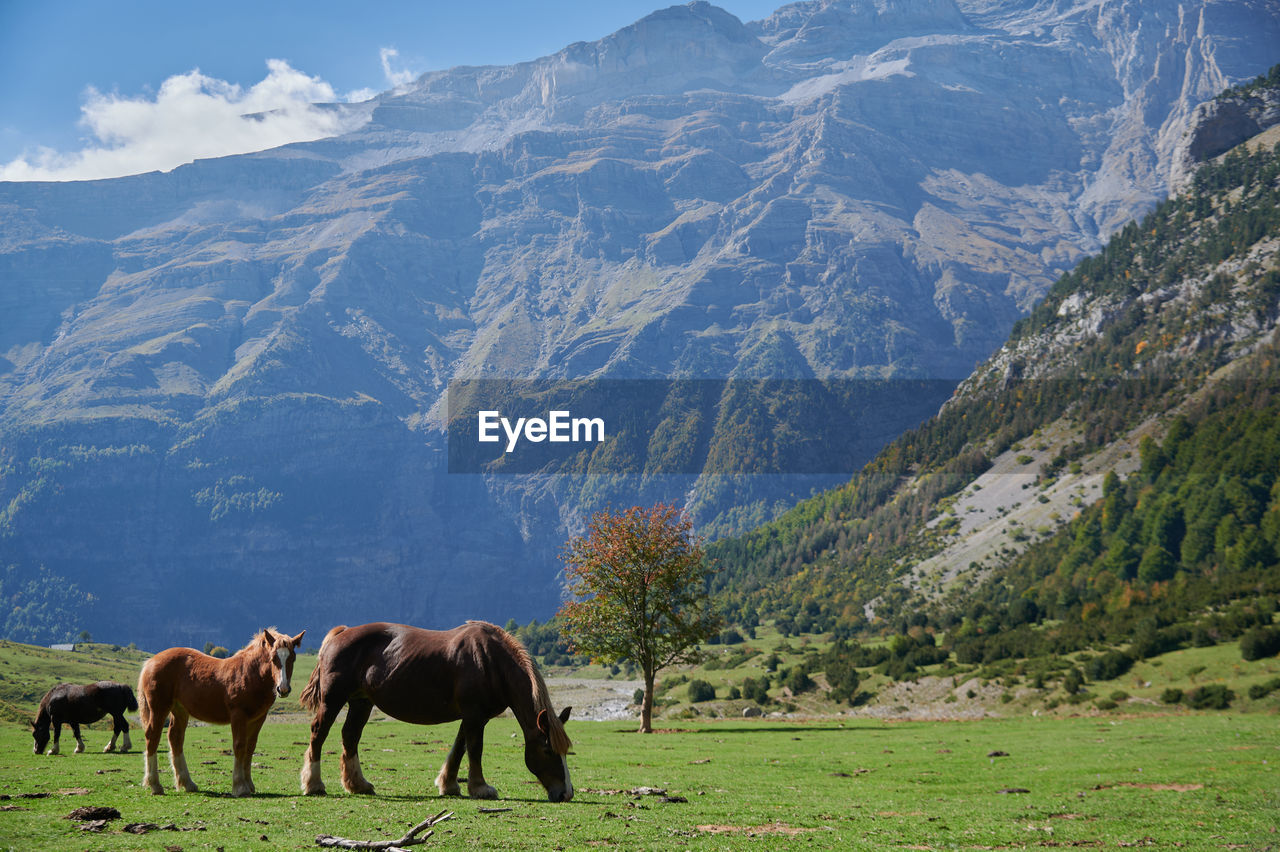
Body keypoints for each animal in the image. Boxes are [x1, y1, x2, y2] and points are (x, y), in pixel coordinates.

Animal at [138, 624, 304, 798]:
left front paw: (249, 784)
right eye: (273, 658)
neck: (250, 674)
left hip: (180, 710)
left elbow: (250, 748)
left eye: (292, 658)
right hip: (159, 709)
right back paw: (155, 785)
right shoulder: (238, 715)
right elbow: (239, 746)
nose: (283, 689)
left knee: (175, 738)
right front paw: (240, 787)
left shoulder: (258, 718)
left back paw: (187, 783)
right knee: (152, 736)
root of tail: (150, 661)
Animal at [299, 621, 576, 798]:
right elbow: (475, 749)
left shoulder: (474, 717)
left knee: (350, 736)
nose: (566, 794)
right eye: (548, 750)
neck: (490, 661)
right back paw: (314, 784)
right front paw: (481, 788)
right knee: (318, 733)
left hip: (361, 702)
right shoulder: (475, 715)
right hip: (333, 700)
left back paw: (358, 785)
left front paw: (449, 785)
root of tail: (341, 634)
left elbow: (459, 747)